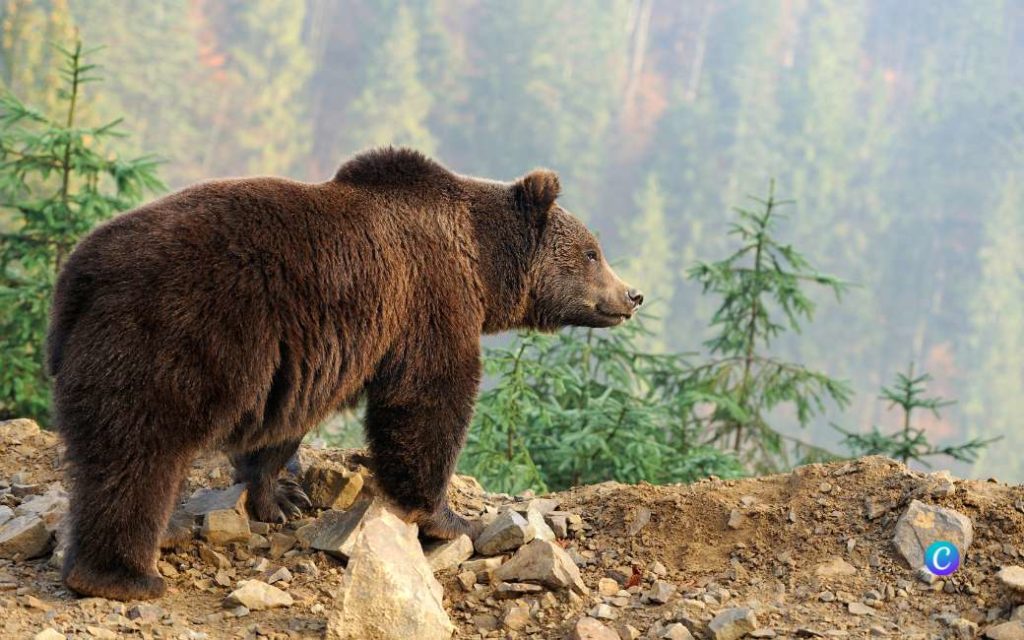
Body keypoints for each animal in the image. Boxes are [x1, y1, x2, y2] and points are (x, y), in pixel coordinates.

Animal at [49, 146, 638, 598]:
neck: (481, 264)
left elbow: (284, 426)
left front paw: (281, 498)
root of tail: (79, 272)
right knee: (138, 455)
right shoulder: (426, 301)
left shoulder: (309, 355)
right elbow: (429, 401)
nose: (632, 294)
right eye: (592, 252)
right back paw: (123, 575)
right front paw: (449, 517)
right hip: (172, 338)